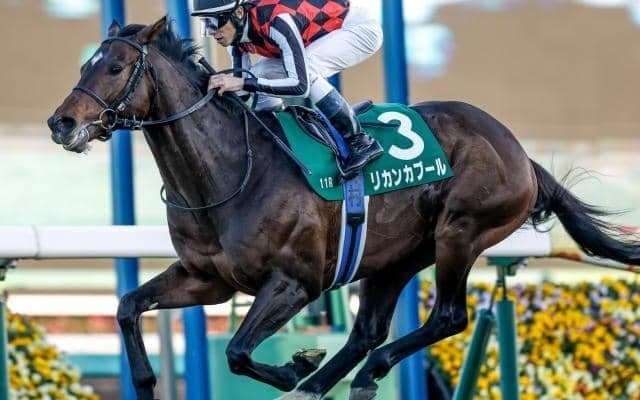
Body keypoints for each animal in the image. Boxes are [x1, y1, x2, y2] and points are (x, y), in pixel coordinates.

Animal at [47, 17, 640, 400]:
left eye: (116, 66)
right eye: (86, 64)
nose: (61, 123)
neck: (229, 172)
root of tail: (520, 152)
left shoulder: (296, 283)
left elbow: (236, 351)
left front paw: (294, 367)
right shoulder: (207, 278)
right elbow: (128, 307)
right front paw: (147, 382)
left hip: (460, 233)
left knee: (447, 317)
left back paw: (337, 377)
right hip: (394, 257)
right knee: (367, 331)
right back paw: (333, 382)